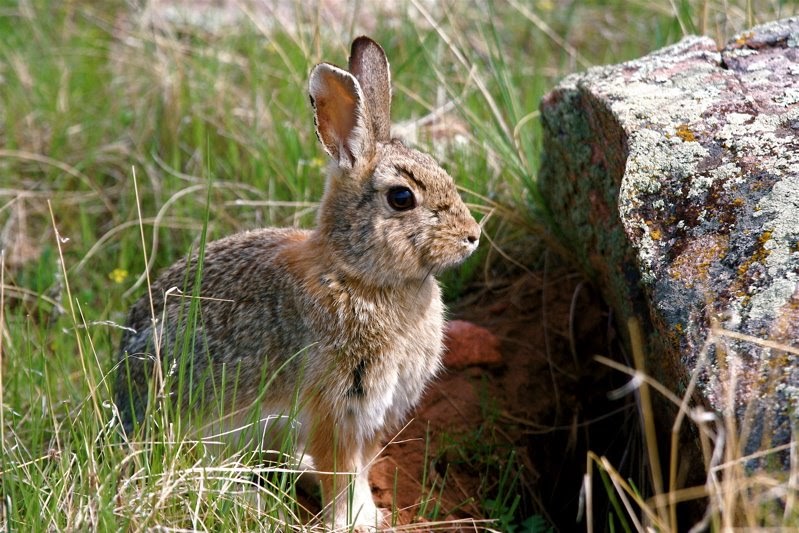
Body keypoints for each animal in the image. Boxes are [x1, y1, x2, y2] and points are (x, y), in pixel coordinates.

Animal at [115, 36, 481, 530]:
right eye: (402, 197)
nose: (472, 236)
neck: (357, 275)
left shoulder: (373, 415)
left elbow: (360, 469)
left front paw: (371, 515)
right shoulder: (337, 405)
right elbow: (342, 473)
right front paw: (349, 522)